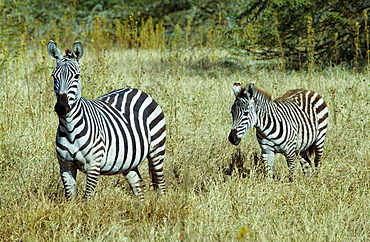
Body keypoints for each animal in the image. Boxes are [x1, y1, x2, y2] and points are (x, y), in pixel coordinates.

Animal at [47, 41, 166, 200]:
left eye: (77, 76)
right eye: (54, 76)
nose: (61, 107)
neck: (70, 128)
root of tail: (137, 90)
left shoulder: (93, 164)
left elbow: (87, 198)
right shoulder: (65, 165)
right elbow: (70, 197)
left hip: (157, 151)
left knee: (161, 185)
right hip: (129, 160)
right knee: (138, 185)